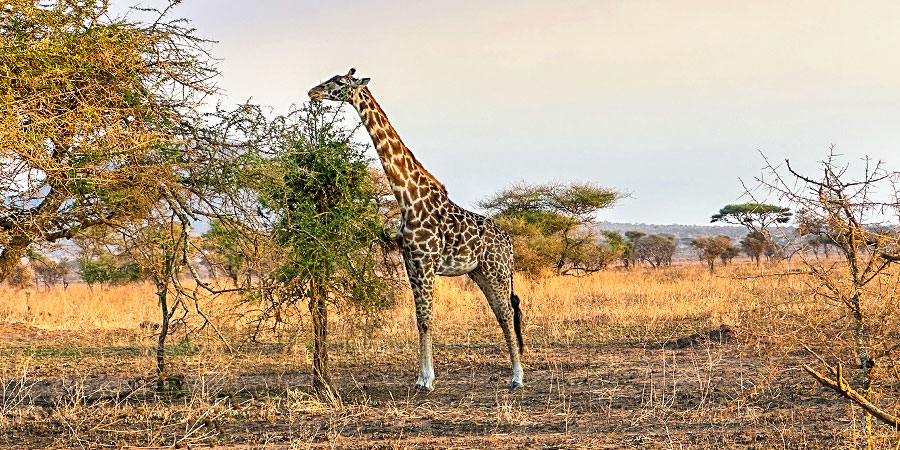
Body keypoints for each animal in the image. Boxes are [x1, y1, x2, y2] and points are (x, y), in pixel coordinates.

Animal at [310, 69, 524, 390]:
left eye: (339, 83)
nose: (312, 92)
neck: (407, 197)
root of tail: (509, 243)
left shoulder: (425, 262)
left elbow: (427, 318)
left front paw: (427, 380)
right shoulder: (410, 262)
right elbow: (418, 318)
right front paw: (421, 378)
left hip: (496, 270)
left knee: (508, 313)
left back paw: (517, 377)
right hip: (480, 272)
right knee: (501, 313)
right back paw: (514, 373)